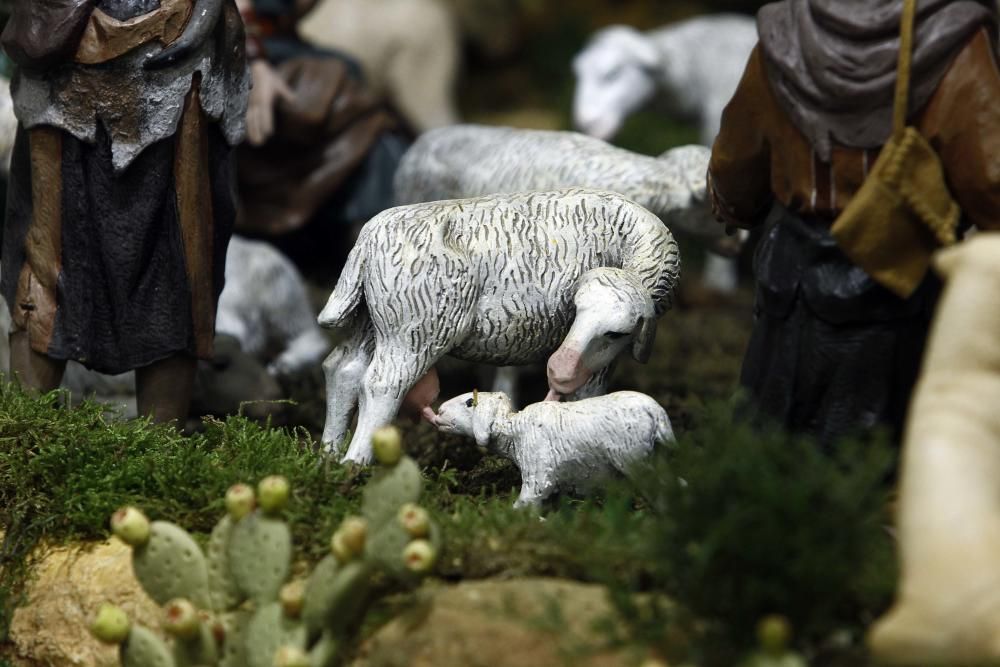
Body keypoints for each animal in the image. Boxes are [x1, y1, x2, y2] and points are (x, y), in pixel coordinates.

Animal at [320, 188, 680, 464]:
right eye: (577, 309)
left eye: (615, 332)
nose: (558, 371)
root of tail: (369, 238)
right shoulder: (597, 364)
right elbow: (588, 396)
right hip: (416, 328)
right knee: (381, 385)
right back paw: (356, 463)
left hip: (372, 321)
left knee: (343, 369)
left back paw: (329, 457)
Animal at [436, 388, 672, 508]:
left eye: (469, 402)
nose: (438, 411)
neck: (514, 430)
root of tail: (656, 411)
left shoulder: (538, 473)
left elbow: (526, 501)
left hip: (633, 457)